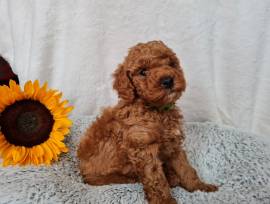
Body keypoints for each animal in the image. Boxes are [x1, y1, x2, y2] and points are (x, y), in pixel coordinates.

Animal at [77, 40, 217, 203]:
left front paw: (200, 187)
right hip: (102, 176)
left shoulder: (173, 143)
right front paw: (165, 201)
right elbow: (156, 179)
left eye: (171, 64)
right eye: (143, 72)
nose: (168, 80)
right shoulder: (143, 148)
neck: (157, 110)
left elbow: (186, 168)